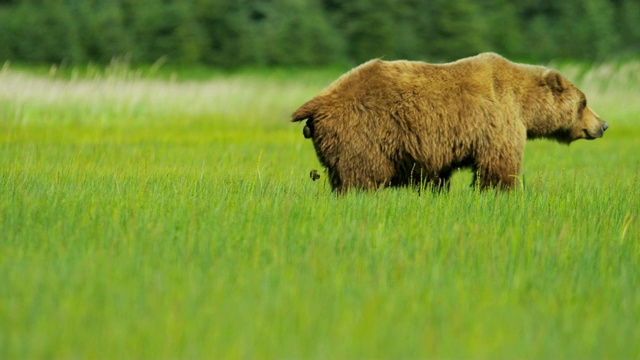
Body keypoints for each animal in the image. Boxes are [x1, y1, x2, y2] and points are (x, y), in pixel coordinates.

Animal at [292, 52, 608, 193]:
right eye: (584, 102)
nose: (603, 125)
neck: (524, 105)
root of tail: (317, 101)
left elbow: (437, 175)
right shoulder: (498, 121)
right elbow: (499, 165)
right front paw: (502, 191)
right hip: (363, 131)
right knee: (360, 175)